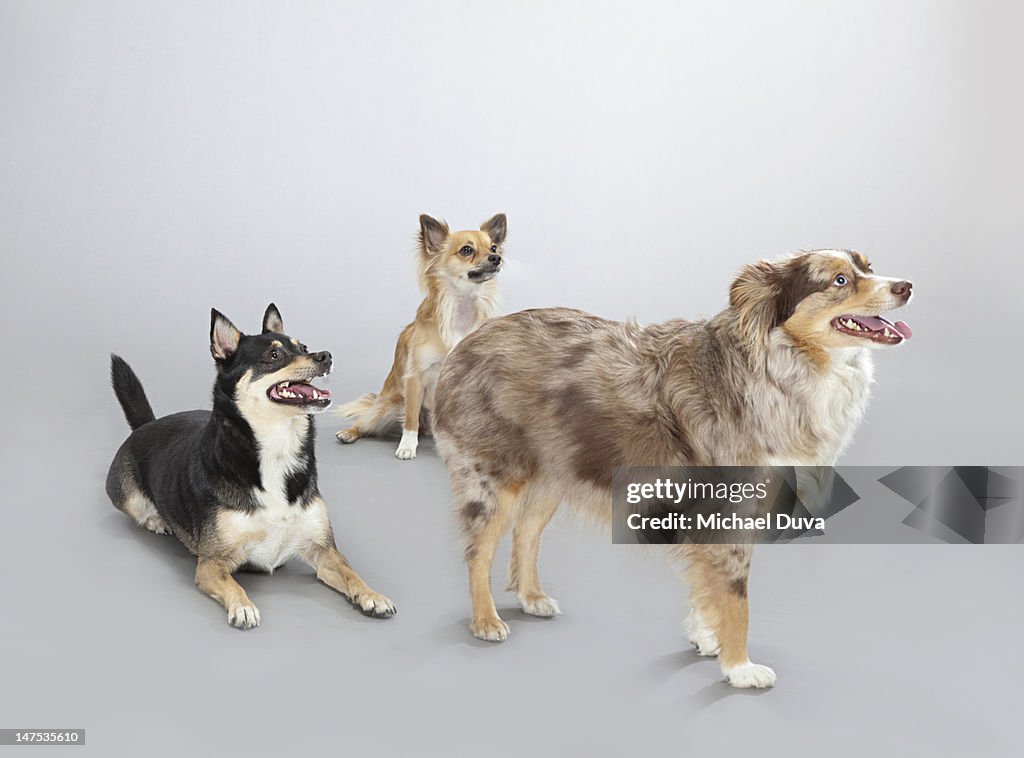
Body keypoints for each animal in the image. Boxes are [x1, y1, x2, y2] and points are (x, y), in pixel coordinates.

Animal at [107, 301, 395, 626]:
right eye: (274, 355)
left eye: (303, 347)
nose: (325, 356)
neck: (277, 448)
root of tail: (147, 424)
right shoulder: (211, 564)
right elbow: (232, 583)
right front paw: (242, 606)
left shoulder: (324, 551)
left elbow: (350, 572)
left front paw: (372, 595)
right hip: (126, 494)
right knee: (138, 509)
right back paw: (157, 520)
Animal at [333, 215, 505, 460]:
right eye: (466, 250)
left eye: (493, 247)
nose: (496, 258)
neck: (461, 310)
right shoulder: (415, 377)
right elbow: (411, 419)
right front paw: (407, 446)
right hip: (388, 408)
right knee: (368, 422)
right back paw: (349, 432)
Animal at [432, 248, 913, 688]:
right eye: (839, 280)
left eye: (868, 266)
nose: (906, 286)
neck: (778, 367)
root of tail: (470, 341)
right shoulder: (732, 513)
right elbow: (737, 600)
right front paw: (739, 667)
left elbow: (706, 586)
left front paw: (707, 638)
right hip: (493, 479)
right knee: (478, 551)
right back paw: (485, 621)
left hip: (554, 471)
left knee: (527, 535)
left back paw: (532, 598)